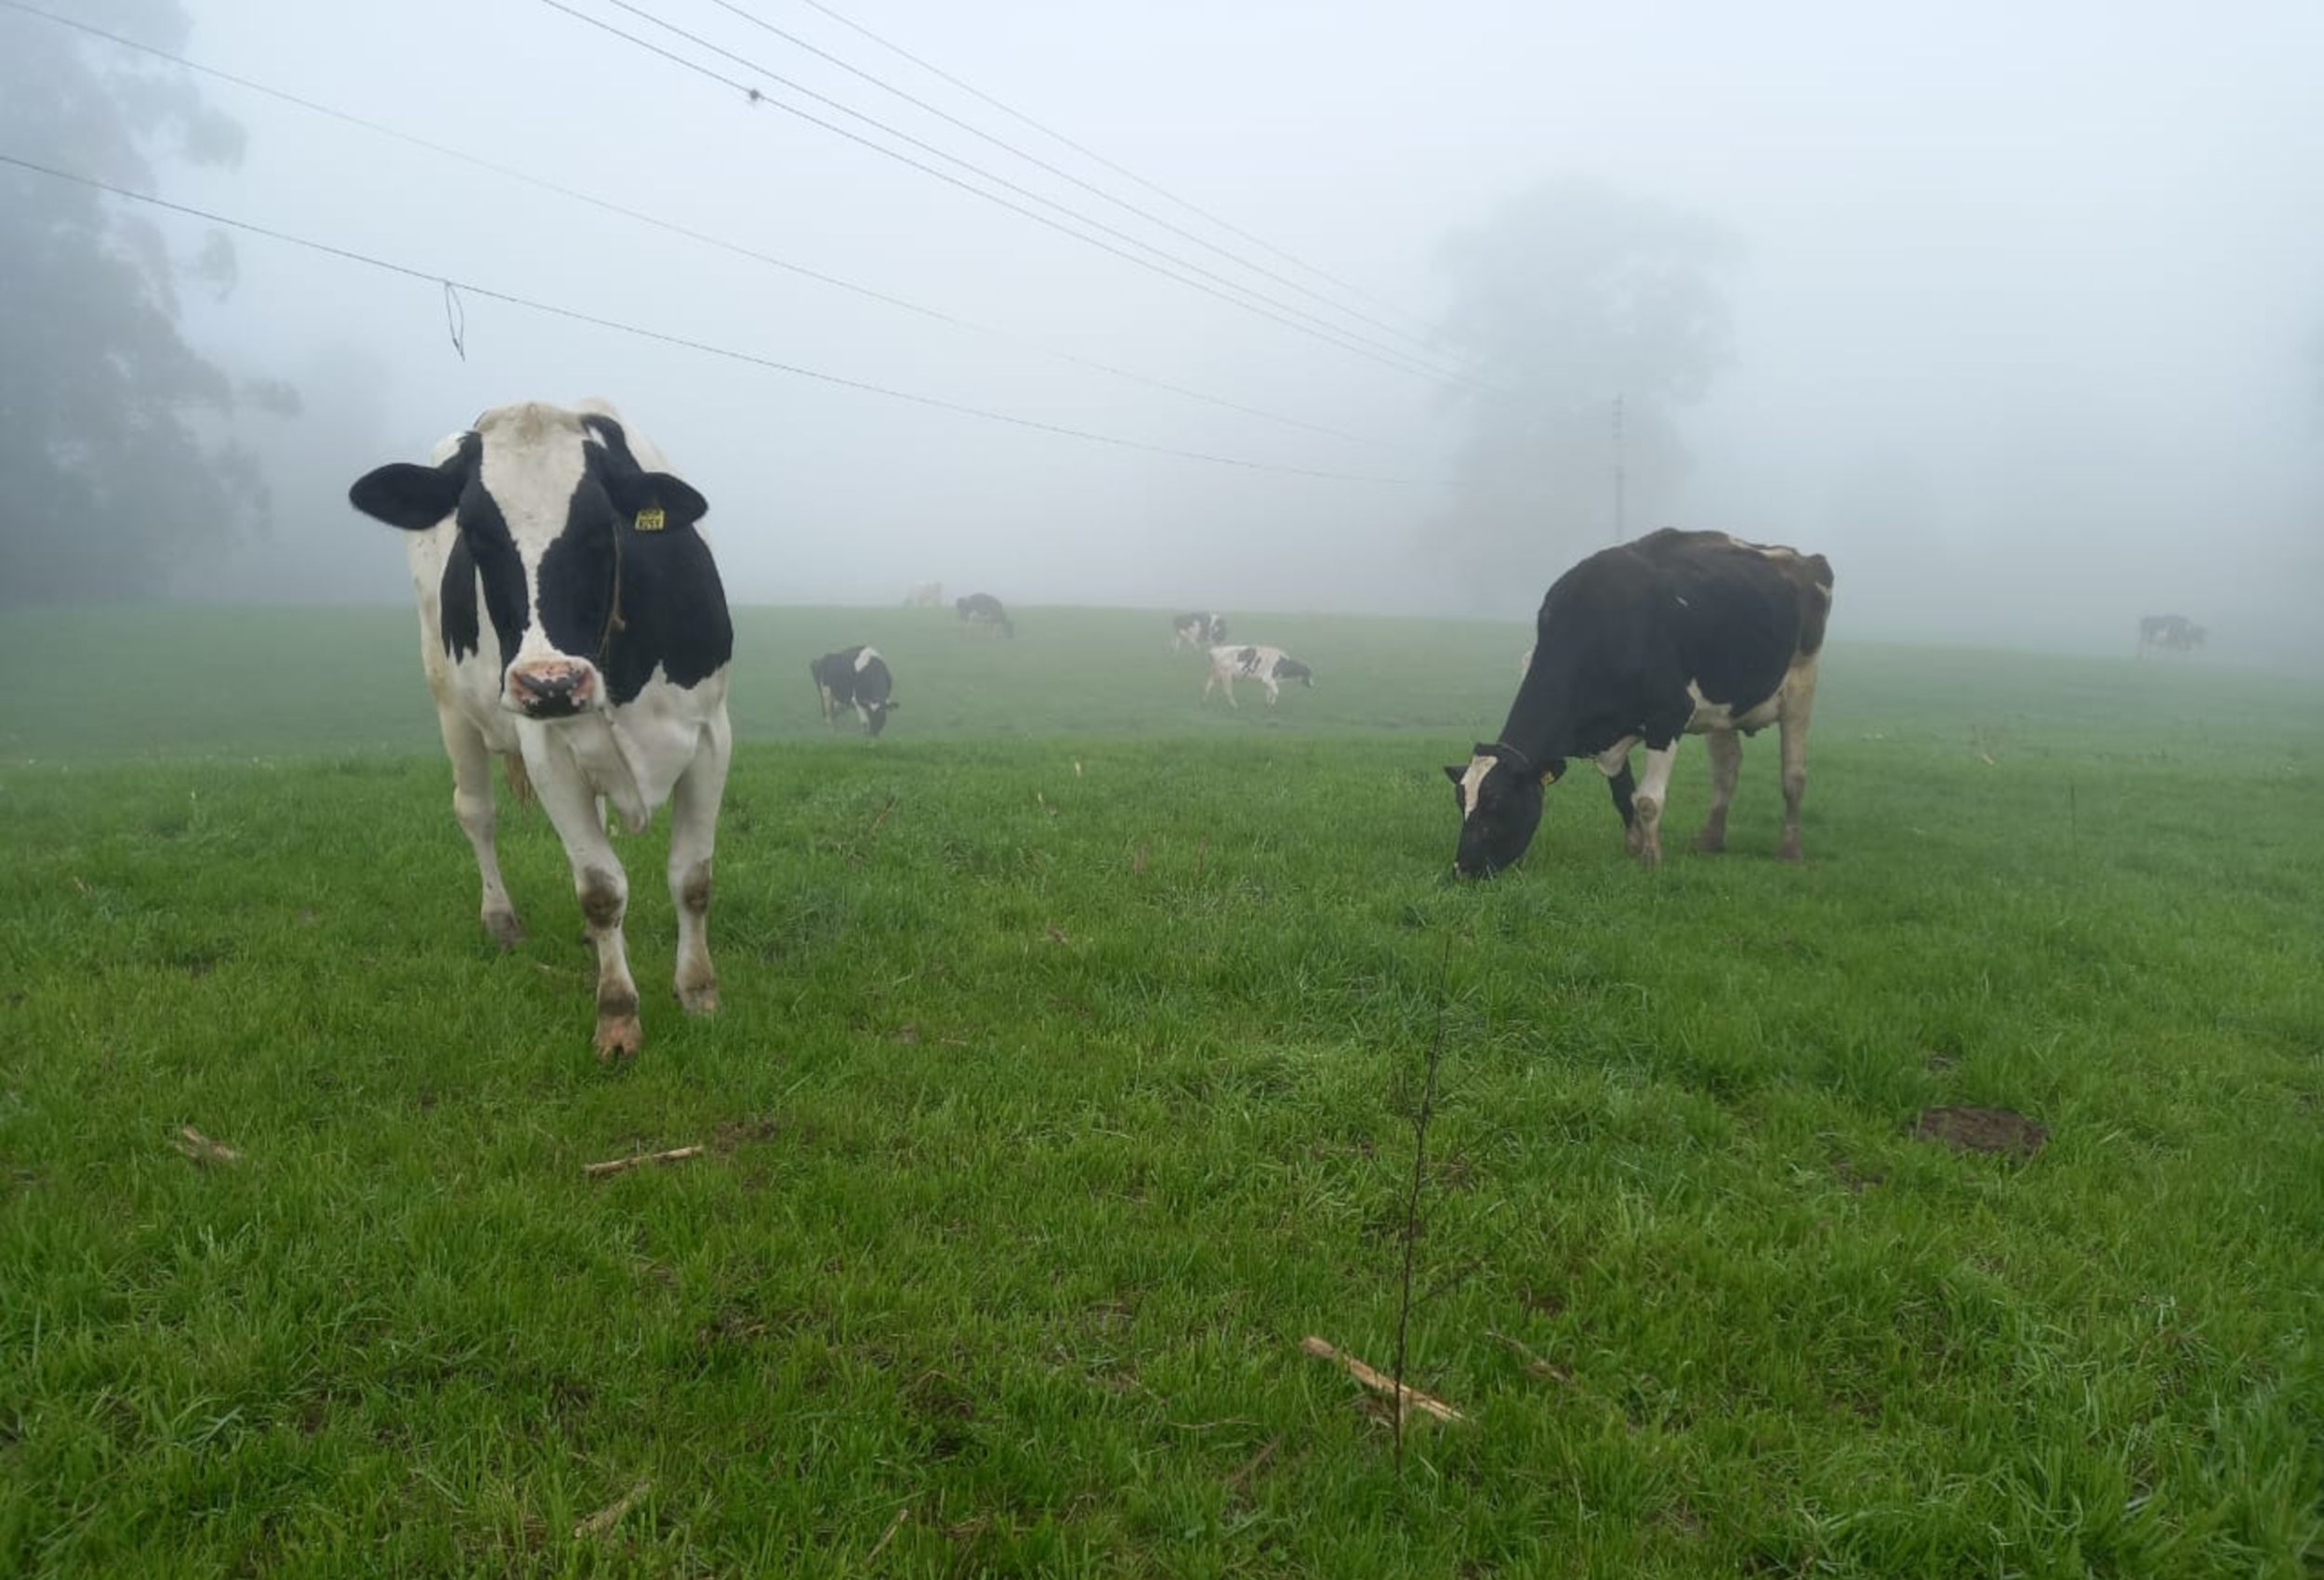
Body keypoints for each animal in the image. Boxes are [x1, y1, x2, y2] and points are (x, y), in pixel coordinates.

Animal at [346, 397, 734, 1060]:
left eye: (602, 527)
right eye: (476, 533)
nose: (551, 684)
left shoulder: (711, 735)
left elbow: (692, 879)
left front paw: (699, 993)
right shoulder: (547, 747)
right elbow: (602, 889)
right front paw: (617, 1013)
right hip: (451, 703)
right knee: (475, 812)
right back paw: (501, 919)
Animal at [1450, 530, 1831, 878]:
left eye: (1497, 804)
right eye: (1460, 801)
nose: (1462, 869)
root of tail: (1802, 557)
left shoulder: (1669, 715)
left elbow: (1648, 799)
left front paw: (1651, 859)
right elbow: (1623, 793)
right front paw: (1633, 846)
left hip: (1802, 686)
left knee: (1793, 775)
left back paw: (1790, 848)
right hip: (1722, 706)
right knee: (1726, 769)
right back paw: (1710, 839)